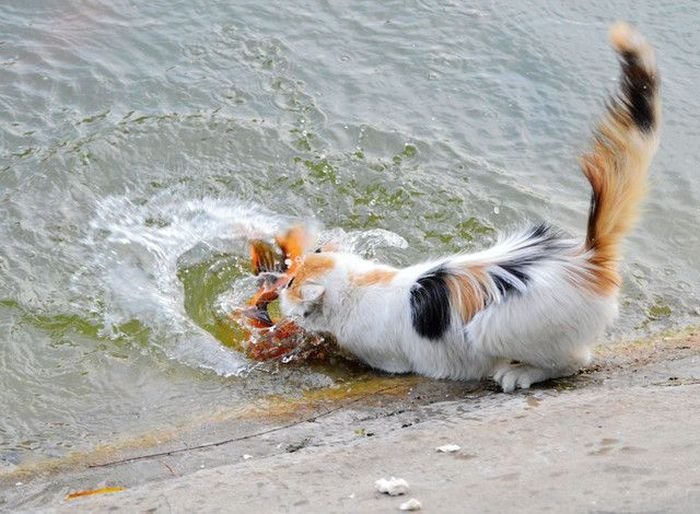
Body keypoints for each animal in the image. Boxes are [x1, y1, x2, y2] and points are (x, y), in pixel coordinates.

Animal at [278, 24, 656, 390]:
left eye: (290, 283)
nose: (279, 287)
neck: (359, 283)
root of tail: (587, 258)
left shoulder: (383, 357)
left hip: (492, 328)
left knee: (574, 360)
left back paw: (517, 375)